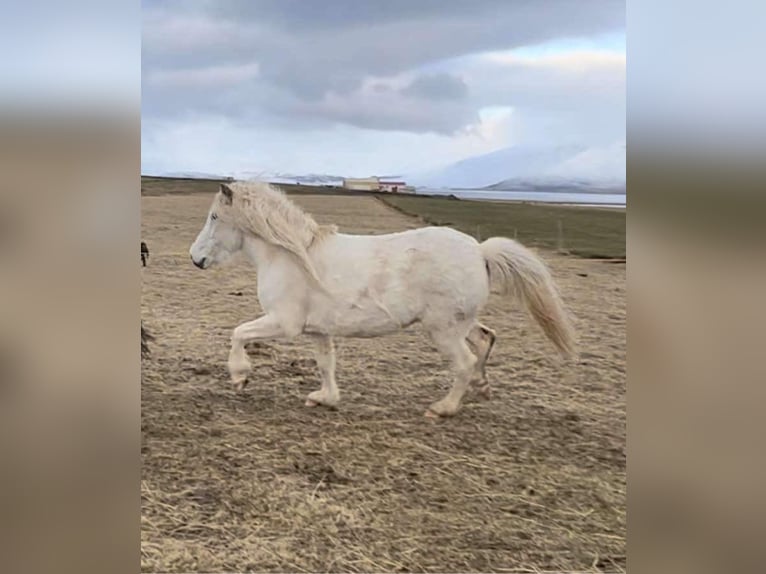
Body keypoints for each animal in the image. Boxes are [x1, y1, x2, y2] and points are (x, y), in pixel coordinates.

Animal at [190, 182, 576, 417]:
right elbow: (325, 364)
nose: (195, 259)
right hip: (459, 323)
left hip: (442, 330)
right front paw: (324, 398)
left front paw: (239, 377)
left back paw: (443, 408)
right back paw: (482, 388)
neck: (292, 256)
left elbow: (238, 333)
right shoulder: (317, 330)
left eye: (214, 217)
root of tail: (480, 251)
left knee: (464, 362)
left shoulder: (284, 324)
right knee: (485, 339)